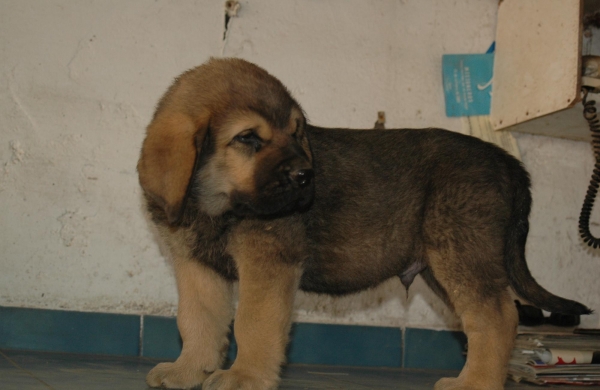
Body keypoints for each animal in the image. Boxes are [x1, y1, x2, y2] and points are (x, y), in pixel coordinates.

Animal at [137, 58, 592, 390]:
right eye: (248, 138)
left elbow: (252, 322)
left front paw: (244, 376)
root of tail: (509, 163)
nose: (306, 176)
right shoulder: (197, 267)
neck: (216, 206)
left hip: (462, 255)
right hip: (444, 266)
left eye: (297, 132)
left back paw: (474, 384)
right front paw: (189, 370)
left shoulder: (268, 265)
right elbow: (197, 320)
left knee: (499, 317)